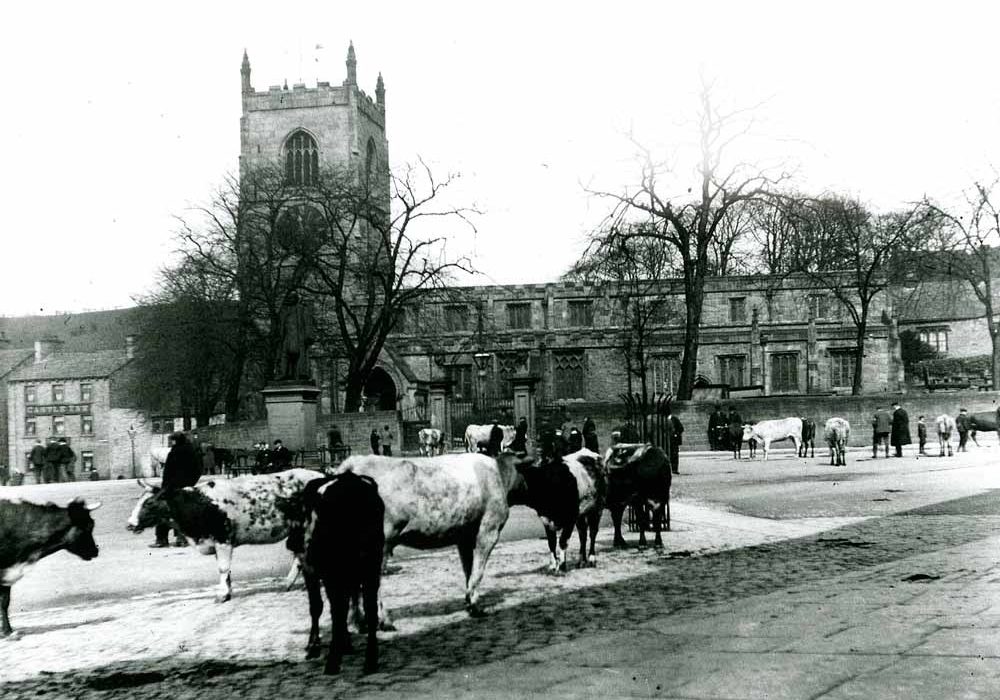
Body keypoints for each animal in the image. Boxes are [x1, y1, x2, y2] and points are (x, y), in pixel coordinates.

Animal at [1, 498, 100, 636]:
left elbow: (5, 602)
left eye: (92, 524)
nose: (95, 551)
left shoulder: (9, 572)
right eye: (88, 526)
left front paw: (7, 631)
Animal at [125, 470, 320, 600]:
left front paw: (222, 594)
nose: (130, 524)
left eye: (149, 503)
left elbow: (223, 568)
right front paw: (228, 591)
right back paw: (289, 583)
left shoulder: (223, 539)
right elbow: (225, 569)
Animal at [512, 448, 604, 576]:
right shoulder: (546, 519)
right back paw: (581, 561)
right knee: (583, 534)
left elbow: (562, 541)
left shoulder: (570, 518)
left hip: (597, 508)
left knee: (593, 532)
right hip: (581, 514)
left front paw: (561, 566)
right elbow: (551, 542)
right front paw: (552, 566)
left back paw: (591, 559)